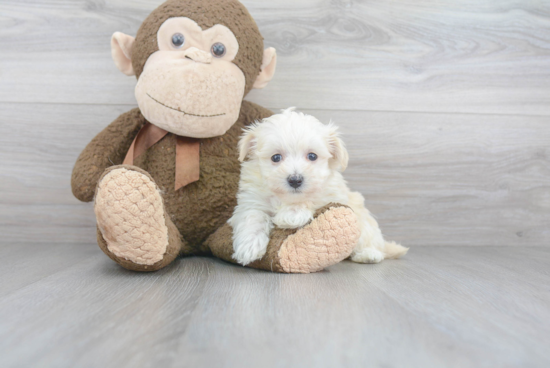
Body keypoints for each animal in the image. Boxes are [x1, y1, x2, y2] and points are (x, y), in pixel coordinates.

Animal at [230, 108, 410, 266]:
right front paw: (249, 247)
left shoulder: (330, 193)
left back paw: (368, 254)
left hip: (363, 222)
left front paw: (291, 215)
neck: (287, 198)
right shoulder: (252, 200)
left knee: (369, 240)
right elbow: (253, 216)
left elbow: (311, 199)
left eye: (312, 156)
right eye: (275, 157)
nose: (295, 180)